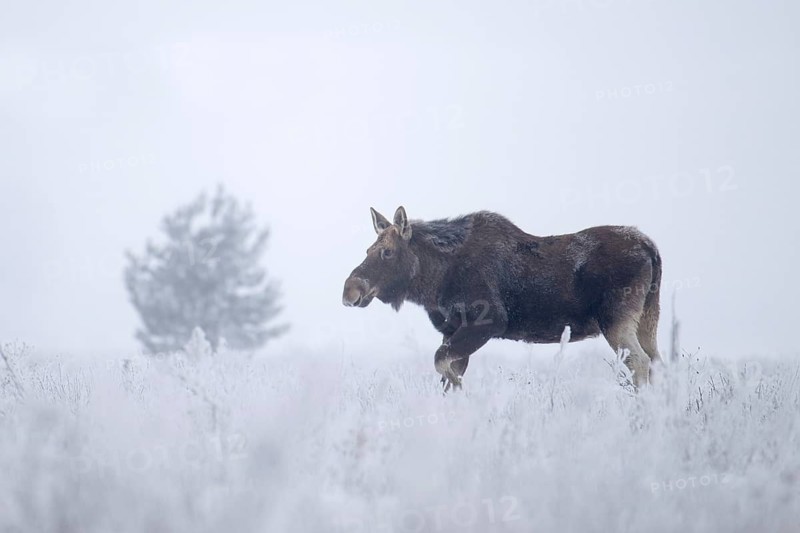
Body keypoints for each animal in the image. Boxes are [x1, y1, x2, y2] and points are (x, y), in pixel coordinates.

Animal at [342, 206, 662, 390]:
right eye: (368, 249)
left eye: (387, 252)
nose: (349, 290)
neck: (434, 280)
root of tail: (651, 247)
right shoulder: (452, 331)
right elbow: (446, 374)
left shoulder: (488, 322)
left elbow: (442, 365)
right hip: (647, 318)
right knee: (657, 362)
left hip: (616, 320)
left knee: (641, 363)